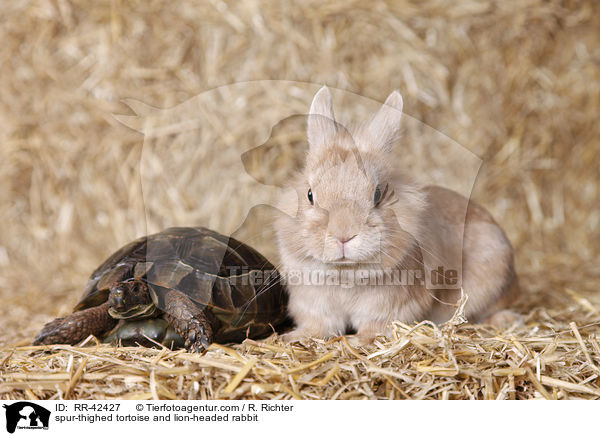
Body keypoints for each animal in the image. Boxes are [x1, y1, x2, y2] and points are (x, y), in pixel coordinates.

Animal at [274, 85, 516, 342]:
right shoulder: (314, 305)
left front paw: (362, 341)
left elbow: (375, 326)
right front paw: (297, 337)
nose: (343, 236)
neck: (345, 273)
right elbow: (319, 325)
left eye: (378, 194)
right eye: (310, 194)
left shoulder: (388, 307)